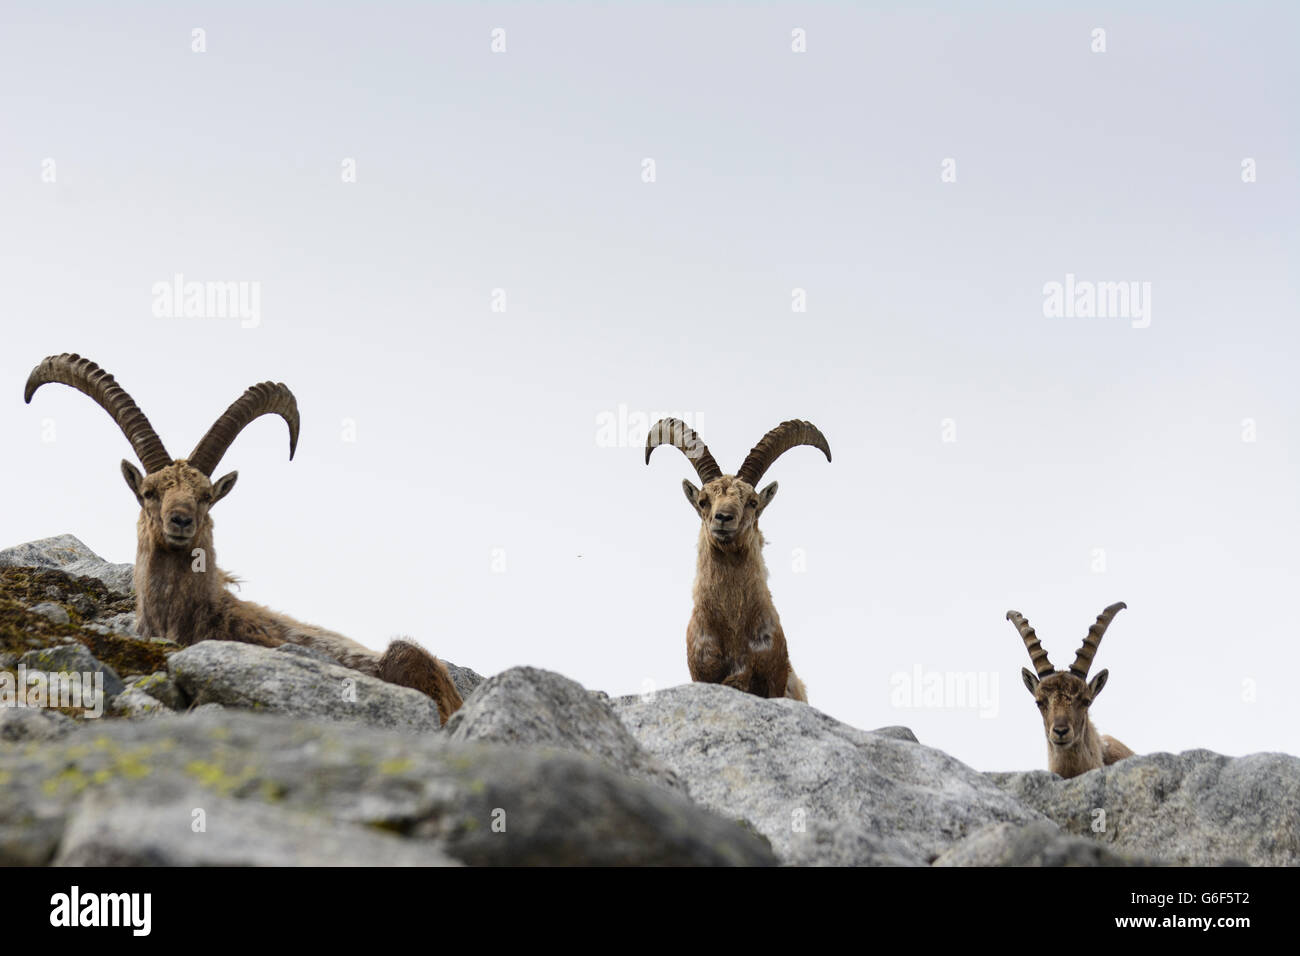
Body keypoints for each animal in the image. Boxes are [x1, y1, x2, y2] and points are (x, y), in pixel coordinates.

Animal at [645, 418, 830, 702]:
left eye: (753, 502)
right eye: (703, 501)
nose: (723, 518)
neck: (733, 627)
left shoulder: (773, 677)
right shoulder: (703, 673)